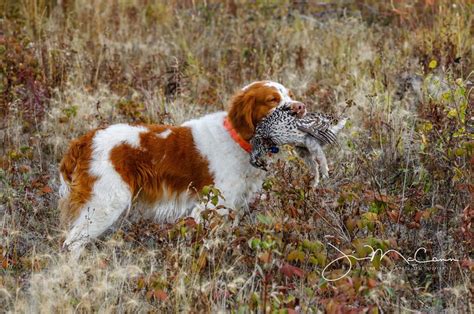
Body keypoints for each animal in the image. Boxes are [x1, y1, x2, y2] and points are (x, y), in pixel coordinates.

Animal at [59, 81, 306, 255]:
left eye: (290, 95)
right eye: (272, 99)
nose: (300, 107)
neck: (238, 139)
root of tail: (84, 141)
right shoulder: (210, 206)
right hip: (105, 204)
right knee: (72, 243)